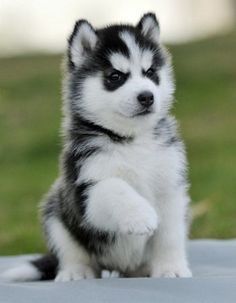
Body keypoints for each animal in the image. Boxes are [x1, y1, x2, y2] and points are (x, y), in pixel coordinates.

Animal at [2, 12, 193, 282]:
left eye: (150, 72)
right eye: (115, 76)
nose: (147, 96)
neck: (131, 140)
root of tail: (122, 268)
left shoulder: (171, 188)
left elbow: (170, 236)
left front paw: (171, 268)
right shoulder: (85, 189)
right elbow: (115, 187)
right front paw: (141, 215)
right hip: (55, 211)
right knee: (70, 252)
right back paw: (76, 272)